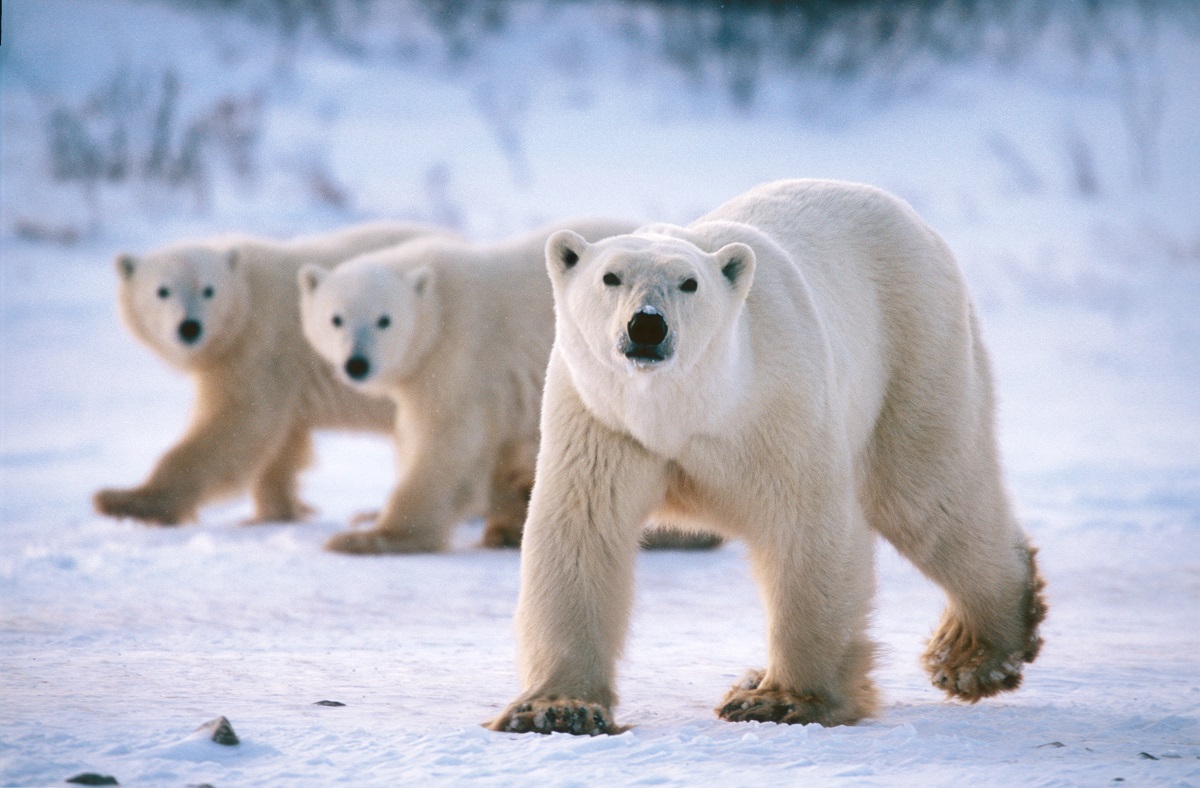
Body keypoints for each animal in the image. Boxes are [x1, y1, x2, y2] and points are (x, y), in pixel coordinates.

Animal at [94, 221, 450, 525]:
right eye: (162, 291)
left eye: (209, 290)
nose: (189, 327)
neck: (248, 295)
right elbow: (281, 442)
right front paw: (275, 511)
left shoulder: (260, 346)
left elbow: (236, 424)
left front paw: (122, 500)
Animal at [298, 218, 645, 554]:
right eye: (335, 319)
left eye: (384, 320)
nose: (357, 363)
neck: (435, 303)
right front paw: (506, 526)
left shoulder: (461, 353)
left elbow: (446, 441)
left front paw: (368, 538)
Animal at [488, 179, 1047, 735]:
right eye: (610, 276)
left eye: (690, 283)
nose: (647, 326)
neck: (687, 408)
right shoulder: (601, 420)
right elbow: (581, 531)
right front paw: (557, 708)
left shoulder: (777, 405)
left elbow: (805, 526)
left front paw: (782, 700)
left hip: (915, 346)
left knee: (926, 496)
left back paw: (974, 653)